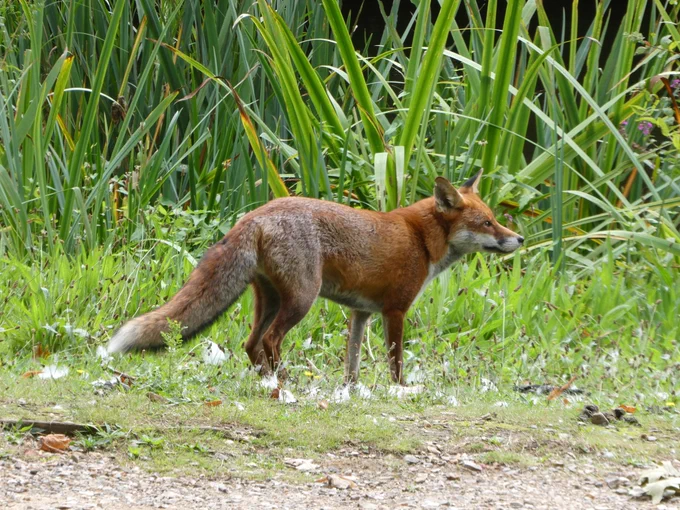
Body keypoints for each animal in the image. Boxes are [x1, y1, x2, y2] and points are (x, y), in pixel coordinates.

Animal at [107, 170, 523, 384]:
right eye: (487, 223)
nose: (518, 239)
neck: (421, 239)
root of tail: (255, 213)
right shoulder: (395, 311)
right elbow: (396, 361)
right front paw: (399, 390)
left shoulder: (361, 313)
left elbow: (352, 362)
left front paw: (352, 391)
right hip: (301, 299)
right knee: (270, 341)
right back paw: (284, 381)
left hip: (270, 300)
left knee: (250, 343)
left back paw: (267, 381)